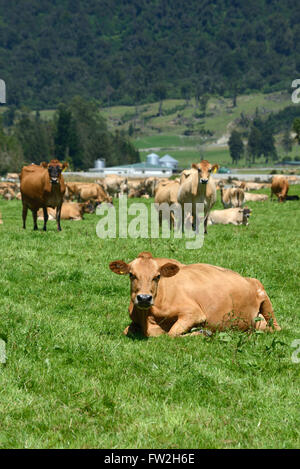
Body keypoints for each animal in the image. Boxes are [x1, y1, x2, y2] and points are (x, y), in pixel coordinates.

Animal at [109, 250, 282, 334]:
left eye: (157, 276)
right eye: (131, 275)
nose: (144, 298)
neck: (148, 318)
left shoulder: (193, 313)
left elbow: (172, 333)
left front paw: (201, 332)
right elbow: (127, 331)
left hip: (262, 294)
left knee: (275, 328)